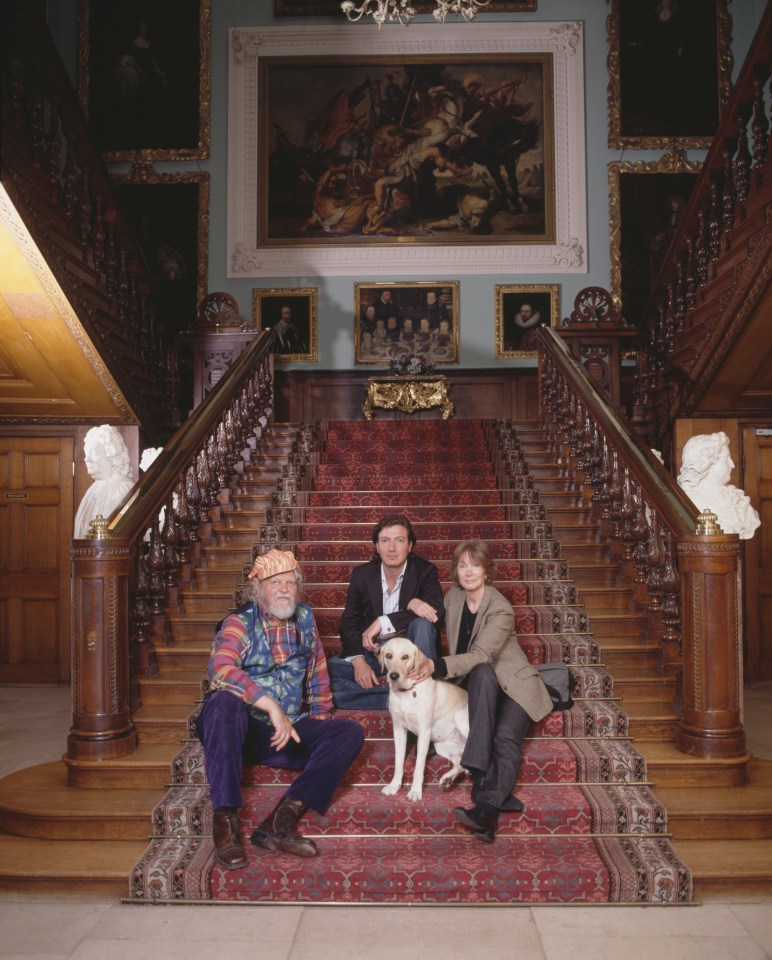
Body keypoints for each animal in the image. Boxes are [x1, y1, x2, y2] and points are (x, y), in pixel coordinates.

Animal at [376, 636, 468, 804]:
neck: (407, 692)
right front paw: (394, 785)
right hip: (443, 747)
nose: (393, 676)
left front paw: (415, 791)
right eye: (389, 656)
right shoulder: (398, 730)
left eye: (405, 657)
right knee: (461, 764)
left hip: (460, 718)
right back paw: (448, 778)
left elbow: (418, 766)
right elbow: (398, 762)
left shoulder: (424, 732)